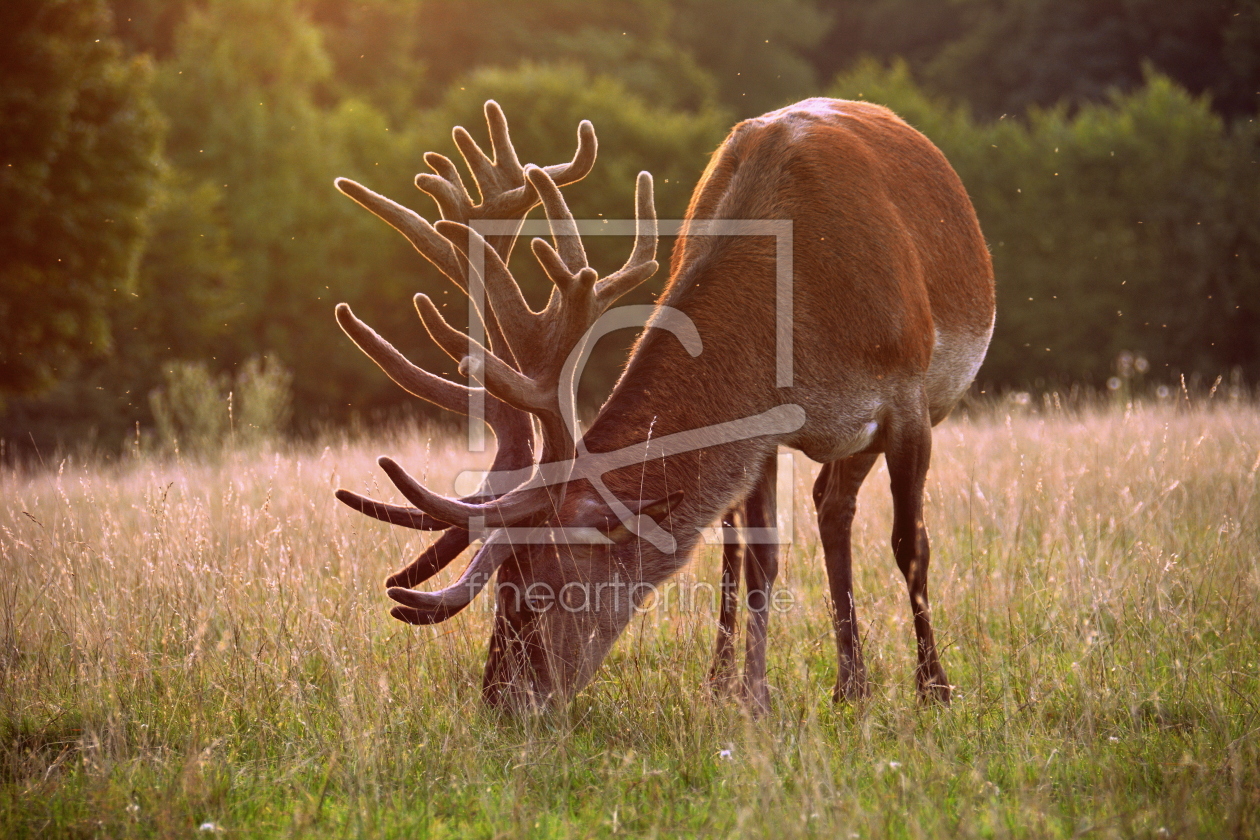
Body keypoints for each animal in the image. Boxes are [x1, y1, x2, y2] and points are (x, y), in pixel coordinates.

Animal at [332, 98, 992, 715]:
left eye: (542, 589)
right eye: (501, 588)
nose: (502, 699)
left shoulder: (908, 399)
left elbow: (910, 545)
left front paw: (935, 689)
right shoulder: (761, 430)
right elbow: (762, 558)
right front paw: (753, 695)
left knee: (835, 511)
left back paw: (853, 681)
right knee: (785, 525)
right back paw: (789, 681)